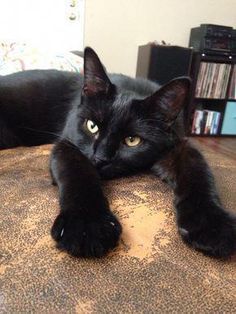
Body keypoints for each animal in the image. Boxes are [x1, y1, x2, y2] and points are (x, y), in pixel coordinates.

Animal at [0, 46, 235, 258]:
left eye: (132, 140)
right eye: (92, 126)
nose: (100, 158)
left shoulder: (178, 145)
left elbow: (198, 170)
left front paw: (212, 225)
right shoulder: (67, 144)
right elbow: (77, 171)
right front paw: (87, 225)